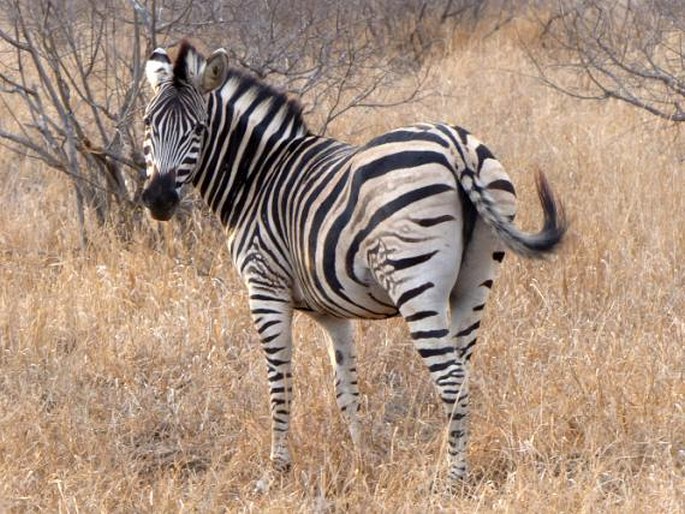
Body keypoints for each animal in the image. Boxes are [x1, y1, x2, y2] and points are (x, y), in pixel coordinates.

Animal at [140, 42, 568, 486]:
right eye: (148, 123)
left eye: (198, 129)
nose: (158, 200)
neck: (258, 176)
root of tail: (455, 145)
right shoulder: (332, 310)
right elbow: (346, 386)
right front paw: (363, 458)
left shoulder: (265, 288)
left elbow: (279, 382)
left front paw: (277, 469)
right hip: (475, 280)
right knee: (461, 372)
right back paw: (444, 462)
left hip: (415, 281)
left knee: (449, 378)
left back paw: (453, 481)